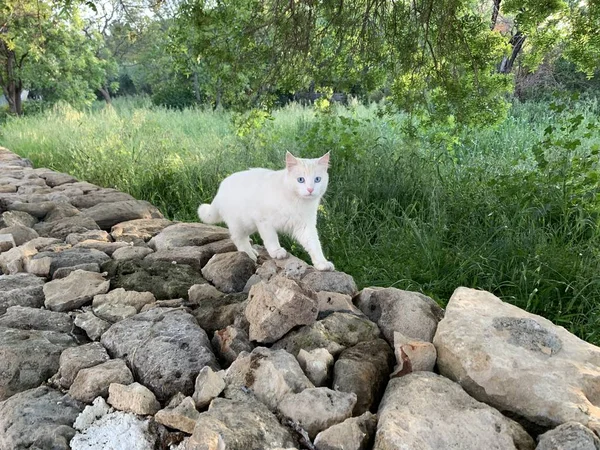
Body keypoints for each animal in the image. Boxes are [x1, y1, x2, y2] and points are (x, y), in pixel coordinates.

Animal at [199, 151, 336, 270]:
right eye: (300, 179)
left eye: (317, 179)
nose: (310, 189)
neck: (296, 201)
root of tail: (220, 190)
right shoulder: (264, 221)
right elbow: (271, 238)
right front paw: (277, 251)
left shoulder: (305, 226)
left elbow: (314, 245)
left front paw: (322, 263)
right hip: (240, 223)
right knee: (238, 238)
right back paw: (249, 254)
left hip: (249, 225)